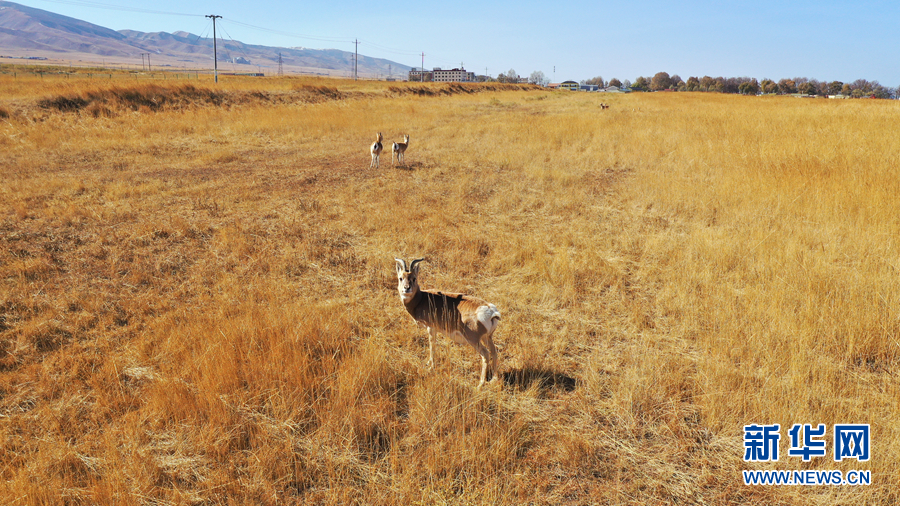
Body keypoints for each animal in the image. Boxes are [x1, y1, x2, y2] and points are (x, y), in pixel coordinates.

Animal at [395, 258, 501, 388]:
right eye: (401, 278)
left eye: (414, 278)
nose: (406, 288)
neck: (421, 299)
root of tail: (491, 311)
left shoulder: (431, 328)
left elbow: (432, 345)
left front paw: (430, 367)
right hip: (487, 337)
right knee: (494, 351)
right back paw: (494, 379)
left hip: (474, 340)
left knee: (485, 354)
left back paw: (480, 384)